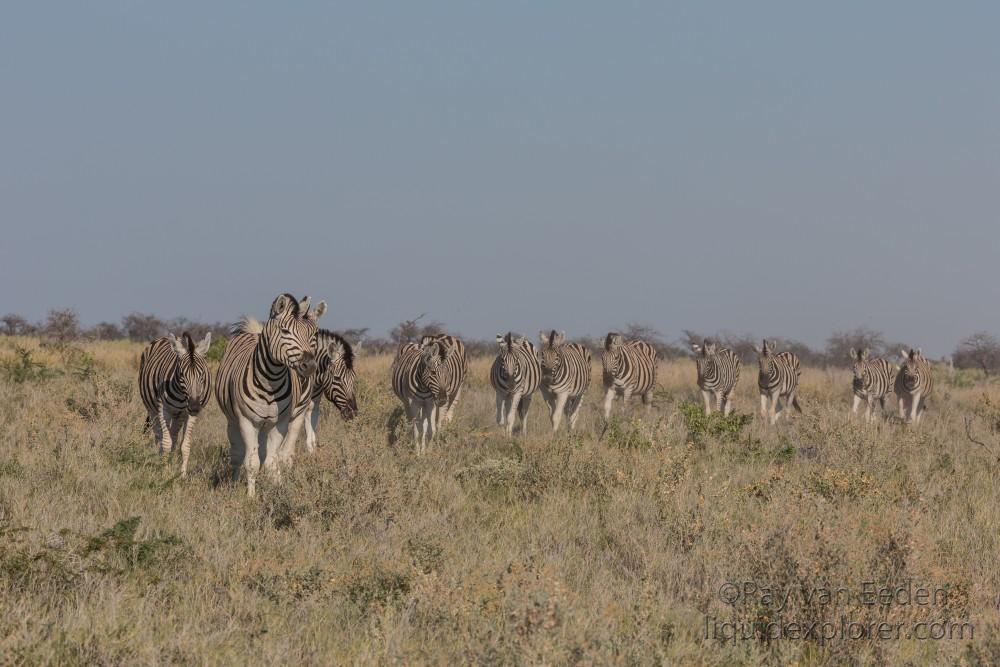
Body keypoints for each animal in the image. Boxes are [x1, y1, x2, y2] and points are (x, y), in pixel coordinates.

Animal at [138, 332, 212, 478]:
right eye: (182, 374)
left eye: (202, 374)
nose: (195, 407)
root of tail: (163, 338)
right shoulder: (163, 409)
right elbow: (166, 443)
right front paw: (164, 473)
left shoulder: (187, 413)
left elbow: (185, 445)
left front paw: (182, 475)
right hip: (152, 409)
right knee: (159, 437)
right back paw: (160, 459)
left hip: (178, 415)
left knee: (173, 436)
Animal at [215, 292, 324, 496]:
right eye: (285, 331)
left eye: (313, 334)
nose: (310, 366)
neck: (270, 381)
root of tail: (251, 330)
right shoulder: (247, 422)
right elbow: (252, 463)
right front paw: (250, 497)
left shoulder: (280, 423)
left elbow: (272, 461)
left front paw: (279, 490)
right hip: (233, 420)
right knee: (238, 455)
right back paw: (233, 484)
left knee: (273, 454)